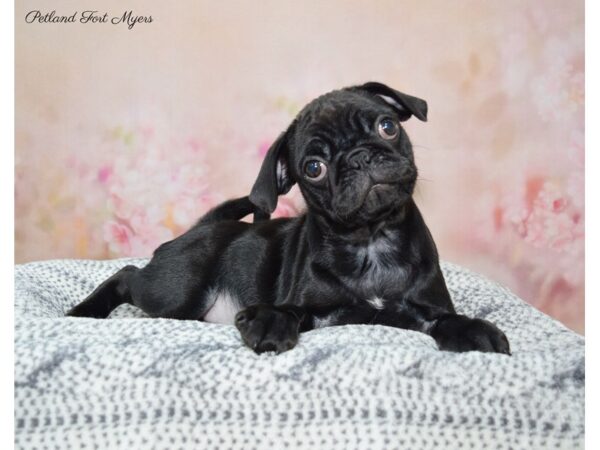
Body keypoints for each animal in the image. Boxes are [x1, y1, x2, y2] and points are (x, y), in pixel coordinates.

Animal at [69, 81, 510, 356]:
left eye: (387, 126)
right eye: (313, 167)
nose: (359, 157)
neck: (370, 240)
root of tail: (200, 228)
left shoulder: (422, 311)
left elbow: (446, 319)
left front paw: (473, 329)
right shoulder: (316, 311)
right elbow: (290, 311)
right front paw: (269, 321)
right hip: (177, 291)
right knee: (126, 274)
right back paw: (82, 312)